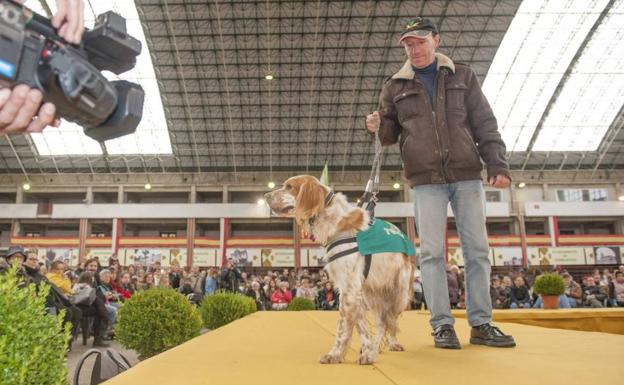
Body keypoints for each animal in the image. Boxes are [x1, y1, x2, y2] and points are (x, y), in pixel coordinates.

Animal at [264, 174, 414, 364]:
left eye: (289, 186)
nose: (266, 196)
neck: (332, 219)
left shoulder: (349, 287)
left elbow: (343, 326)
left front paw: (335, 354)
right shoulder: (351, 289)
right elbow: (360, 326)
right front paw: (365, 351)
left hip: (400, 293)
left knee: (390, 320)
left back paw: (389, 345)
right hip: (372, 294)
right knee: (383, 322)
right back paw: (375, 350)